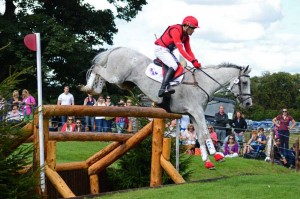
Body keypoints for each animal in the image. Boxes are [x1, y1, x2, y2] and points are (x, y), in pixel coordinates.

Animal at [80, 47, 253, 169]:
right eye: (244, 83)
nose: (249, 104)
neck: (203, 83)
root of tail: (119, 49)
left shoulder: (193, 114)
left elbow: (200, 136)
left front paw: (207, 161)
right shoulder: (196, 111)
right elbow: (205, 133)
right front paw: (217, 155)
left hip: (122, 81)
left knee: (100, 72)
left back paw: (94, 89)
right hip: (116, 76)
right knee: (97, 68)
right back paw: (90, 88)